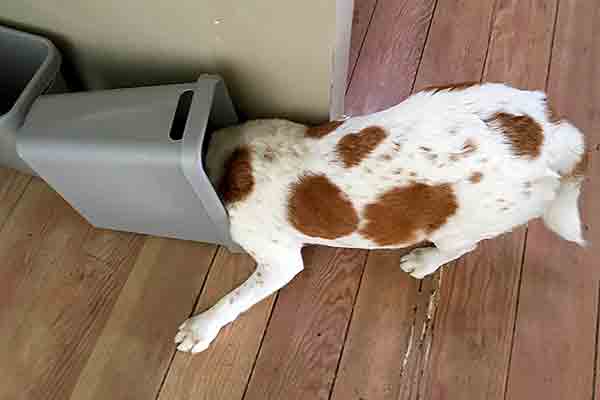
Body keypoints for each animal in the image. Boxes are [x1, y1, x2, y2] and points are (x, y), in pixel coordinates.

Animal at [176, 82, 588, 354]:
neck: (232, 165)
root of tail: (554, 134)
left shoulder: (278, 262)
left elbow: (234, 298)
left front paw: (200, 328)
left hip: (460, 225)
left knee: (459, 247)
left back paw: (423, 261)